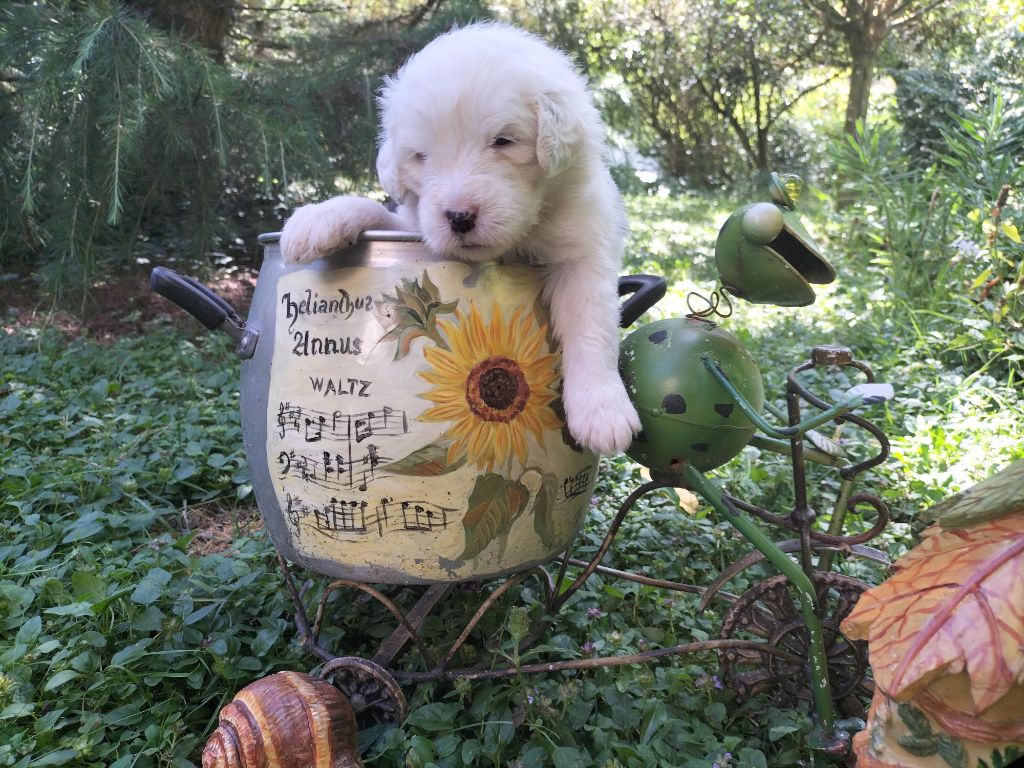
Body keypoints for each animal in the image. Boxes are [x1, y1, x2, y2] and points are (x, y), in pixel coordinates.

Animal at [280, 22, 638, 456]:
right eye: (421, 156)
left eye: (503, 141)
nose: (459, 217)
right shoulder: (414, 228)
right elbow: (377, 210)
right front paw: (317, 218)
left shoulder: (584, 247)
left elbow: (591, 325)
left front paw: (601, 410)